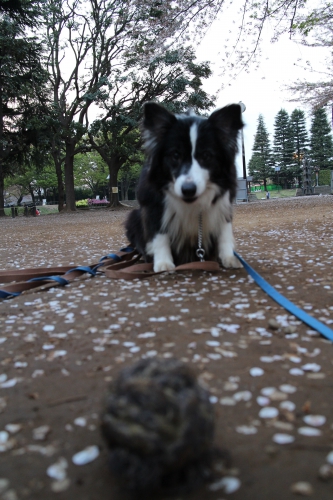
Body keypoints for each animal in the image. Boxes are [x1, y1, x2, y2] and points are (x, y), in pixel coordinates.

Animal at [124, 102, 241, 274]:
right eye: (175, 155)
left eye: (206, 156)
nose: (188, 189)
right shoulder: (153, 203)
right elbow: (159, 233)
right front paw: (163, 263)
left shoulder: (224, 202)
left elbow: (224, 230)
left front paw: (229, 257)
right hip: (133, 218)